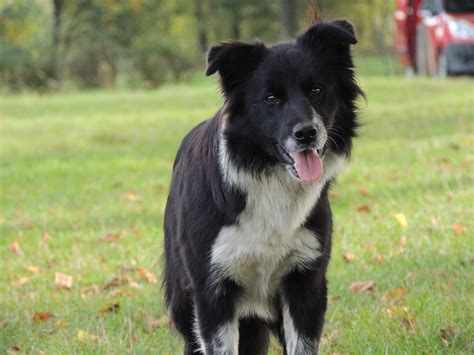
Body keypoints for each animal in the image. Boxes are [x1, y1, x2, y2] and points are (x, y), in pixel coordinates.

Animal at [163, 18, 362, 354]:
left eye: (317, 90)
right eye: (270, 99)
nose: (307, 133)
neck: (270, 177)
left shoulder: (305, 282)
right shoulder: (211, 290)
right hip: (184, 299)